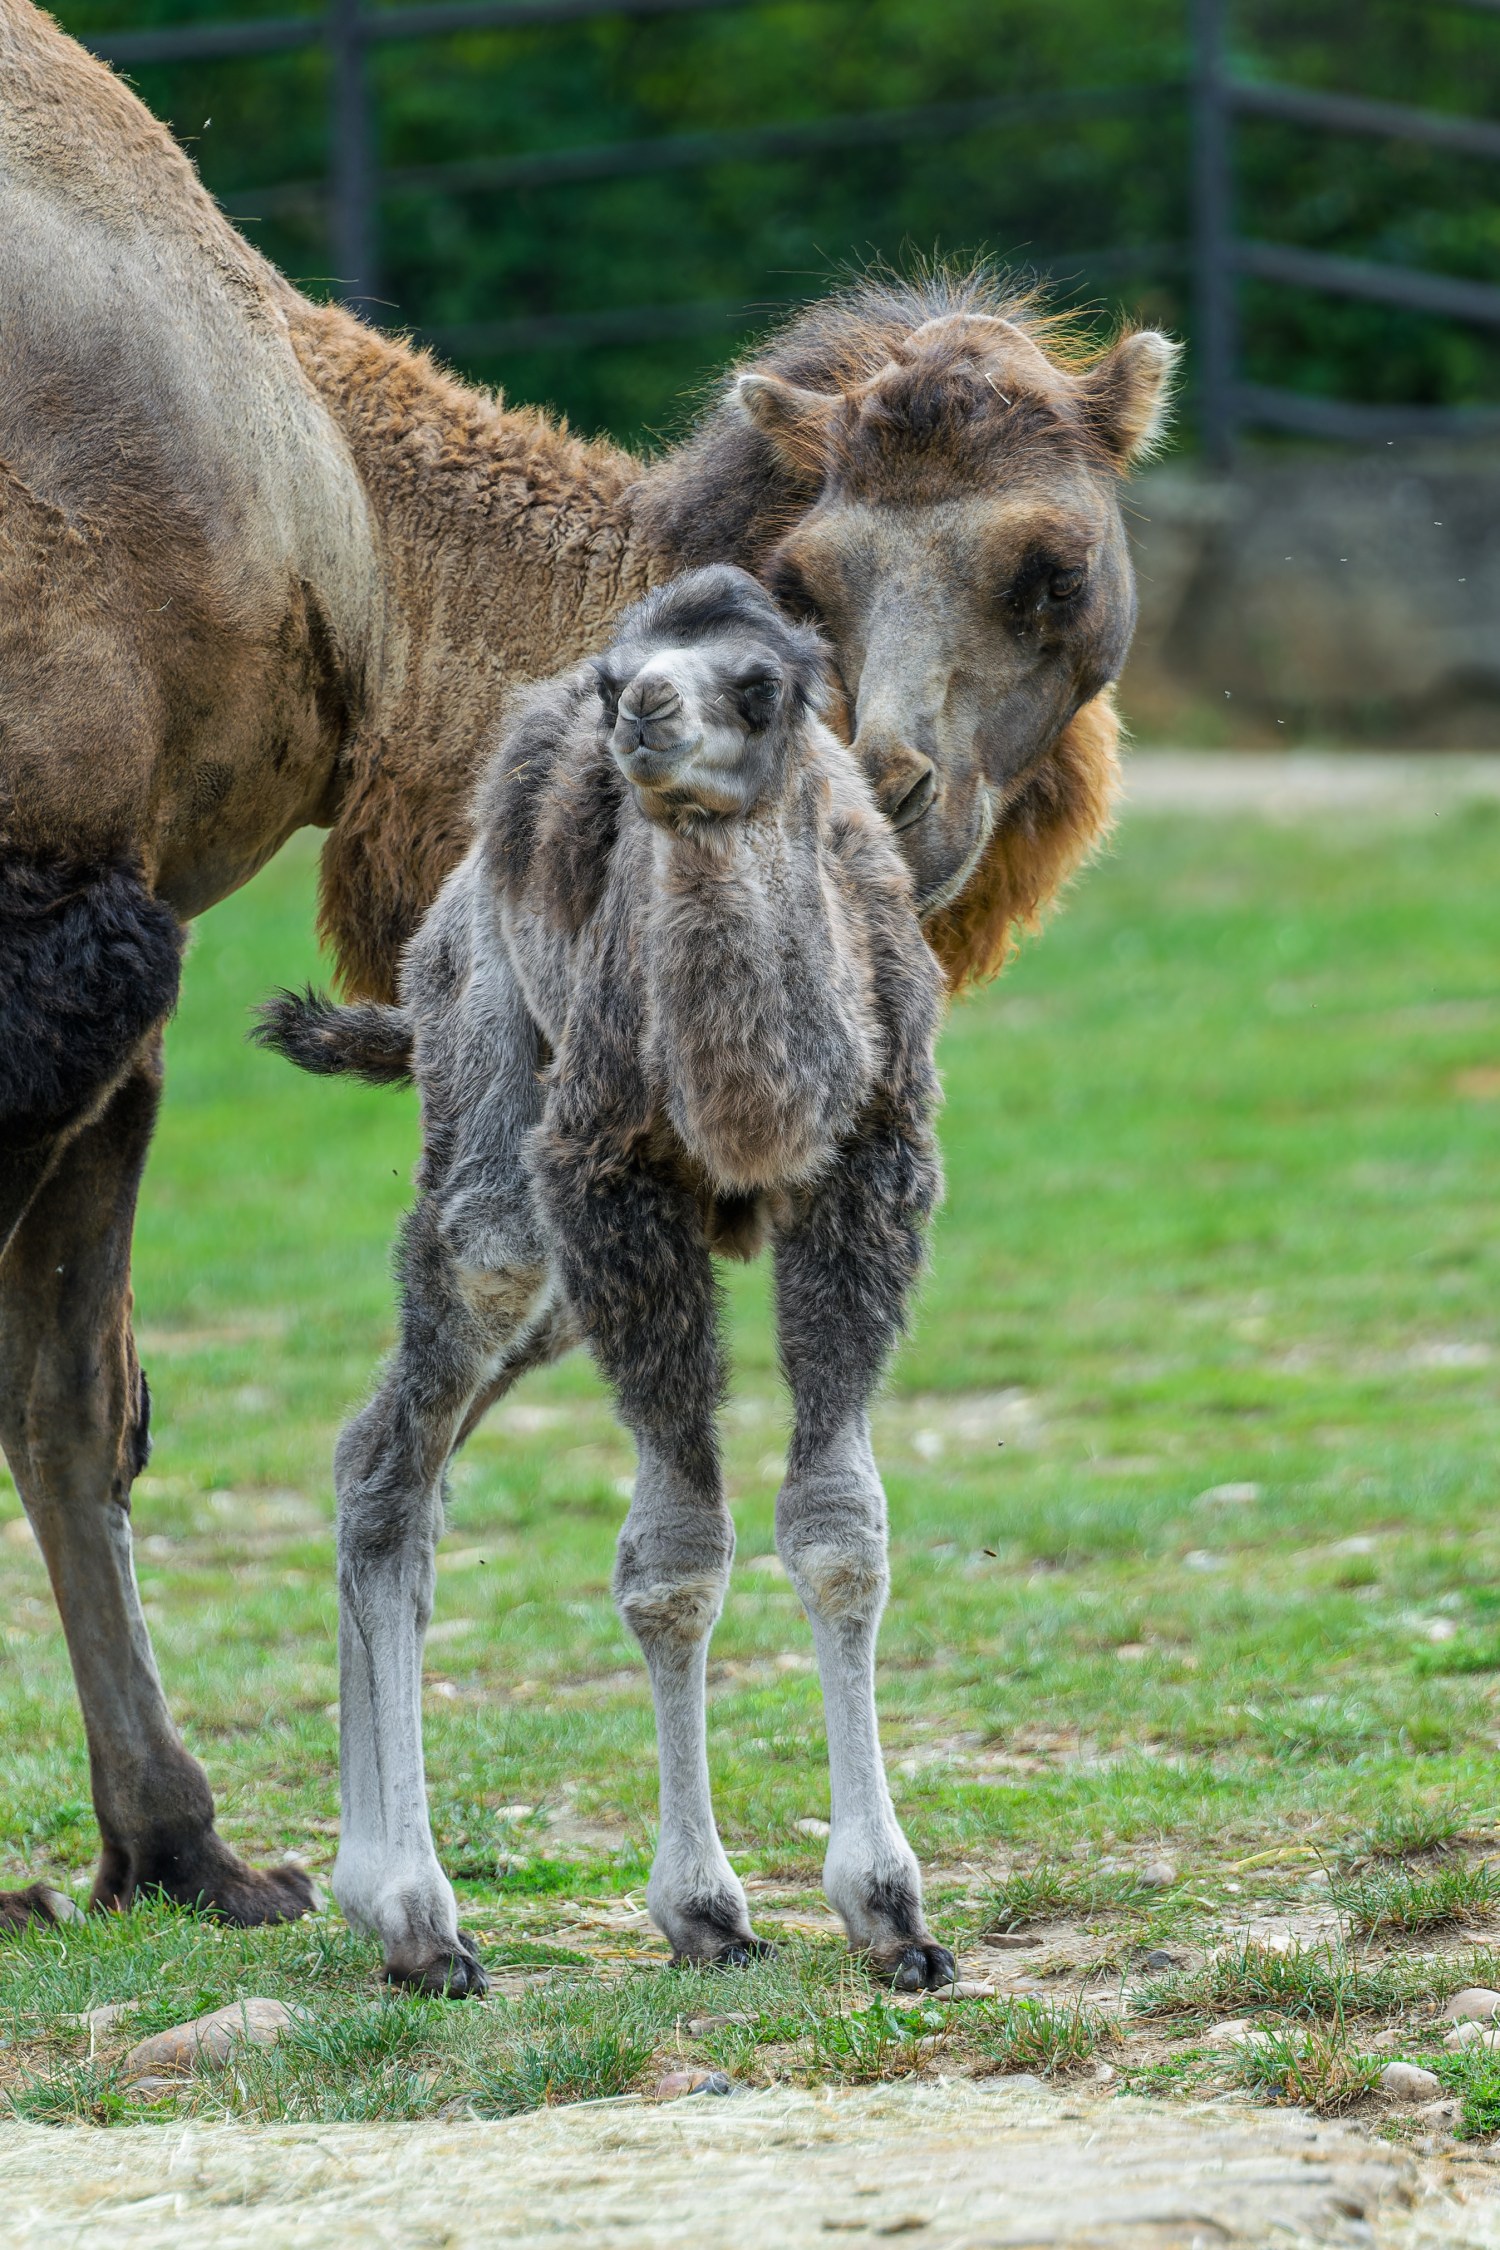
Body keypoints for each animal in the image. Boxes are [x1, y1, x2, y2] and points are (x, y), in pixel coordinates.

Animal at [256, 571, 949, 1998]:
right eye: (615, 674)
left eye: (760, 685)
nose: (641, 717)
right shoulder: (613, 1185)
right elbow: (673, 1558)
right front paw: (705, 1910)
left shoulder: (871, 1178)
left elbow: (840, 1526)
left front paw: (893, 1916)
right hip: (503, 1157)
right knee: (405, 1429)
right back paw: (419, 1920)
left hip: (564, 1288)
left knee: (383, 1446)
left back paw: (370, 1895)